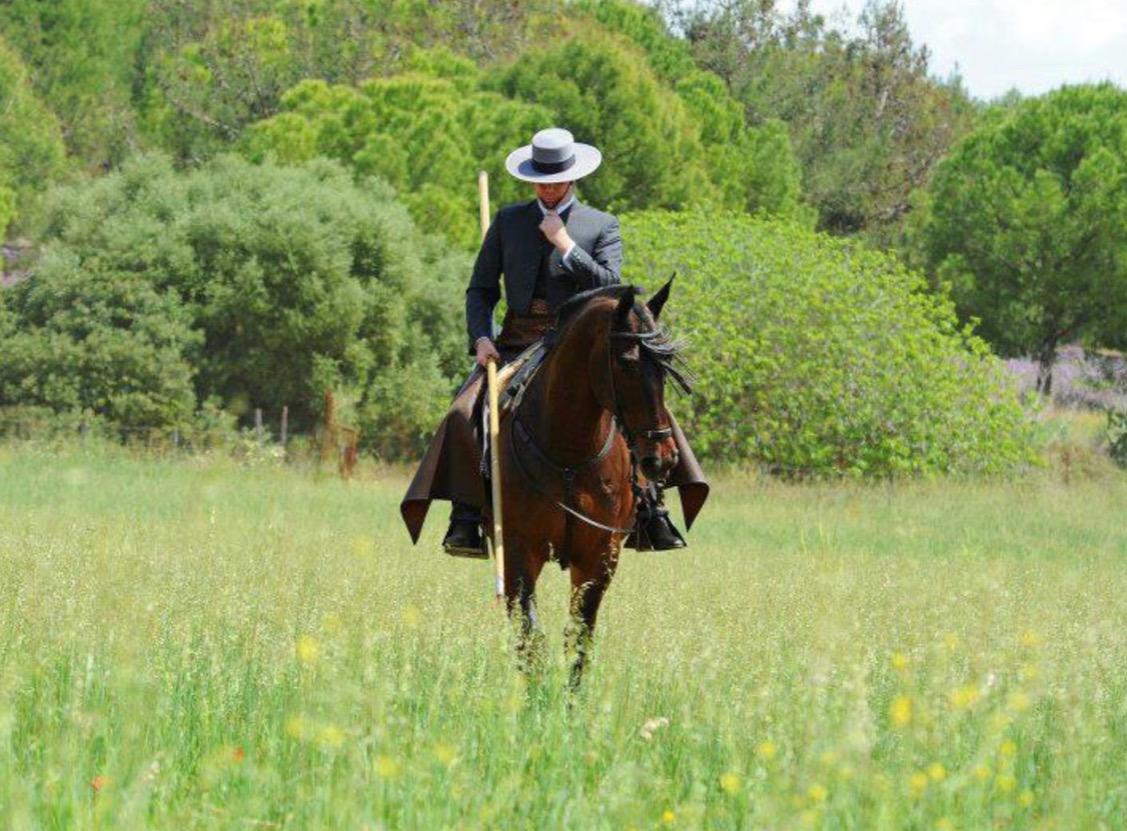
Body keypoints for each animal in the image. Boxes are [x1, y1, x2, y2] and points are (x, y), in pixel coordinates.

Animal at [487, 279, 691, 688]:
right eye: (627, 362)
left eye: (666, 368)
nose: (662, 458)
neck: (569, 449)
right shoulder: (518, 550)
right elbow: (530, 636)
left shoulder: (600, 555)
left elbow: (579, 636)